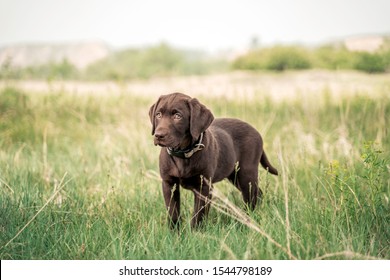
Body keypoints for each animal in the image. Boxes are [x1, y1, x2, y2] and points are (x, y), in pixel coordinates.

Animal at [148, 93, 278, 229]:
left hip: (246, 173)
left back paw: (247, 220)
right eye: (158, 114)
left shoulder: (204, 186)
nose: (158, 135)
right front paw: (174, 233)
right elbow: (173, 212)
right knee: (258, 193)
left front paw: (195, 233)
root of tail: (256, 132)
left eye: (178, 116)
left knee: (251, 197)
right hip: (234, 175)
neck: (184, 154)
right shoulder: (169, 183)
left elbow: (198, 215)